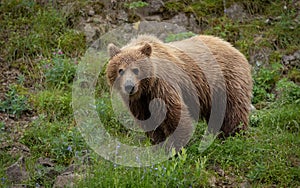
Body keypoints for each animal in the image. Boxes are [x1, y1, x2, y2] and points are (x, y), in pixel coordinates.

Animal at [106, 35, 252, 151]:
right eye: (120, 70)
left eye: (136, 69)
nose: (129, 86)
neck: (146, 88)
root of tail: (233, 47)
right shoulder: (139, 101)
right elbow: (148, 120)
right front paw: (157, 143)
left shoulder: (163, 85)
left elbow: (174, 112)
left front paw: (176, 146)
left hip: (226, 82)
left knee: (233, 111)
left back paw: (233, 136)